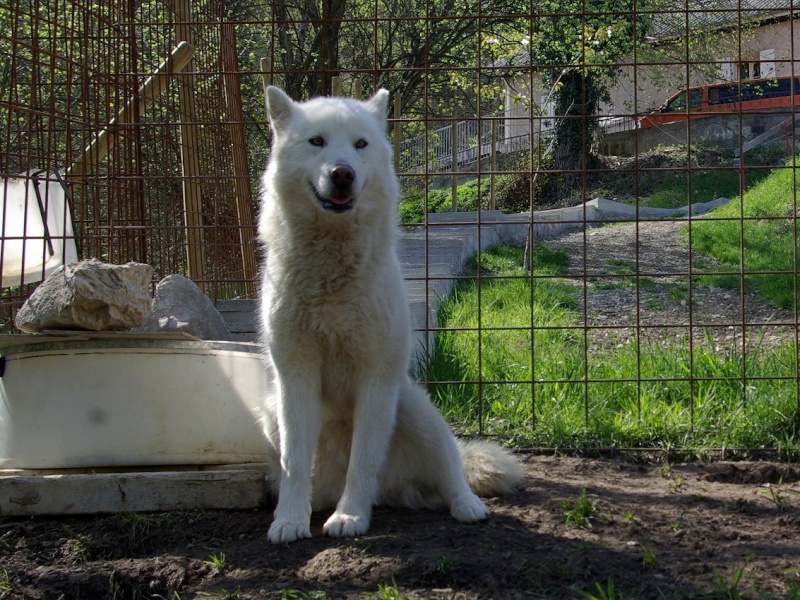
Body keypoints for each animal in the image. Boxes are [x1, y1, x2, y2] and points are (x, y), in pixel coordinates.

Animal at [255, 88, 520, 544]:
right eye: (317, 142)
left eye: (360, 144)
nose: (342, 173)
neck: (332, 272)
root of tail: (391, 491)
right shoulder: (295, 379)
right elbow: (294, 465)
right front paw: (288, 521)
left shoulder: (375, 381)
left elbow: (363, 461)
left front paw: (350, 517)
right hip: (271, 412)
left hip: (418, 412)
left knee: (454, 471)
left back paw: (468, 507)